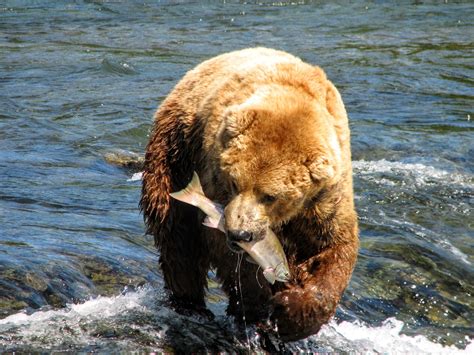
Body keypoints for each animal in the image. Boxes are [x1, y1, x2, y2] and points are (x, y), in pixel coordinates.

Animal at [141, 47, 360, 342]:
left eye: (270, 196)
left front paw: (292, 311)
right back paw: (190, 305)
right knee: (176, 235)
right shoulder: (213, 177)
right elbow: (230, 258)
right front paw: (260, 309)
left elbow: (333, 247)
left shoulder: (325, 196)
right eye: (234, 183)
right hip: (175, 150)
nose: (240, 233)